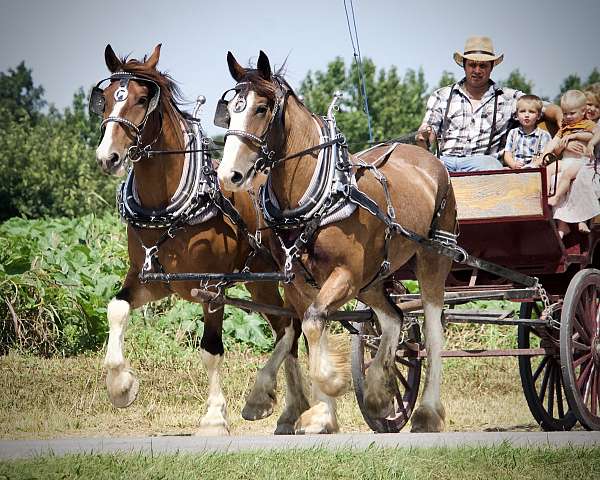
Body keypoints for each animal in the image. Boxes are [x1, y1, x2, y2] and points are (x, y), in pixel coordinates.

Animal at [95, 45, 310, 436]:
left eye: (142, 99)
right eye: (103, 98)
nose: (108, 157)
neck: (166, 207)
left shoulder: (212, 286)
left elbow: (211, 349)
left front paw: (213, 417)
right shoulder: (149, 280)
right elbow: (116, 309)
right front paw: (121, 386)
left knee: (292, 326)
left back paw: (264, 397)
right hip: (260, 283)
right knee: (287, 328)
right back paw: (292, 406)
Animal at [218, 52, 458, 436]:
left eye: (261, 108)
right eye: (229, 110)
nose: (229, 175)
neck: (318, 194)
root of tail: (426, 156)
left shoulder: (344, 274)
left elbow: (314, 324)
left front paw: (331, 387)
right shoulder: (300, 284)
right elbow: (311, 330)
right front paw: (323, 413)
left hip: (432, 257)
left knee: (434, 333)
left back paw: (427, 413)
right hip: (371, 279)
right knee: (393, 318)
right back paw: (378, 391)